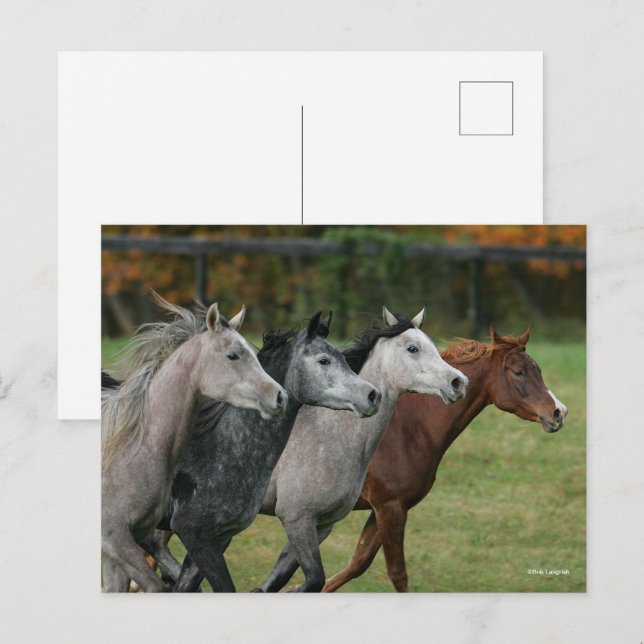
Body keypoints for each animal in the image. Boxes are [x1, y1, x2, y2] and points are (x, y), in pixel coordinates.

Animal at [101, 294, 287, 592]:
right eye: (233, 355)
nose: (280, 396)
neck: (131, 448)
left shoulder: (121, 544)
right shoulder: (114, 538)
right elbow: (155, 585)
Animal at [322, 324, 569, 592]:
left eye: (539, 371)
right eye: (519, 372)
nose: (559, 412)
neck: (407, 430)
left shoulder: (386, 509)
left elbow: (357, 563)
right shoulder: (389, 507)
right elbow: (397, 573)